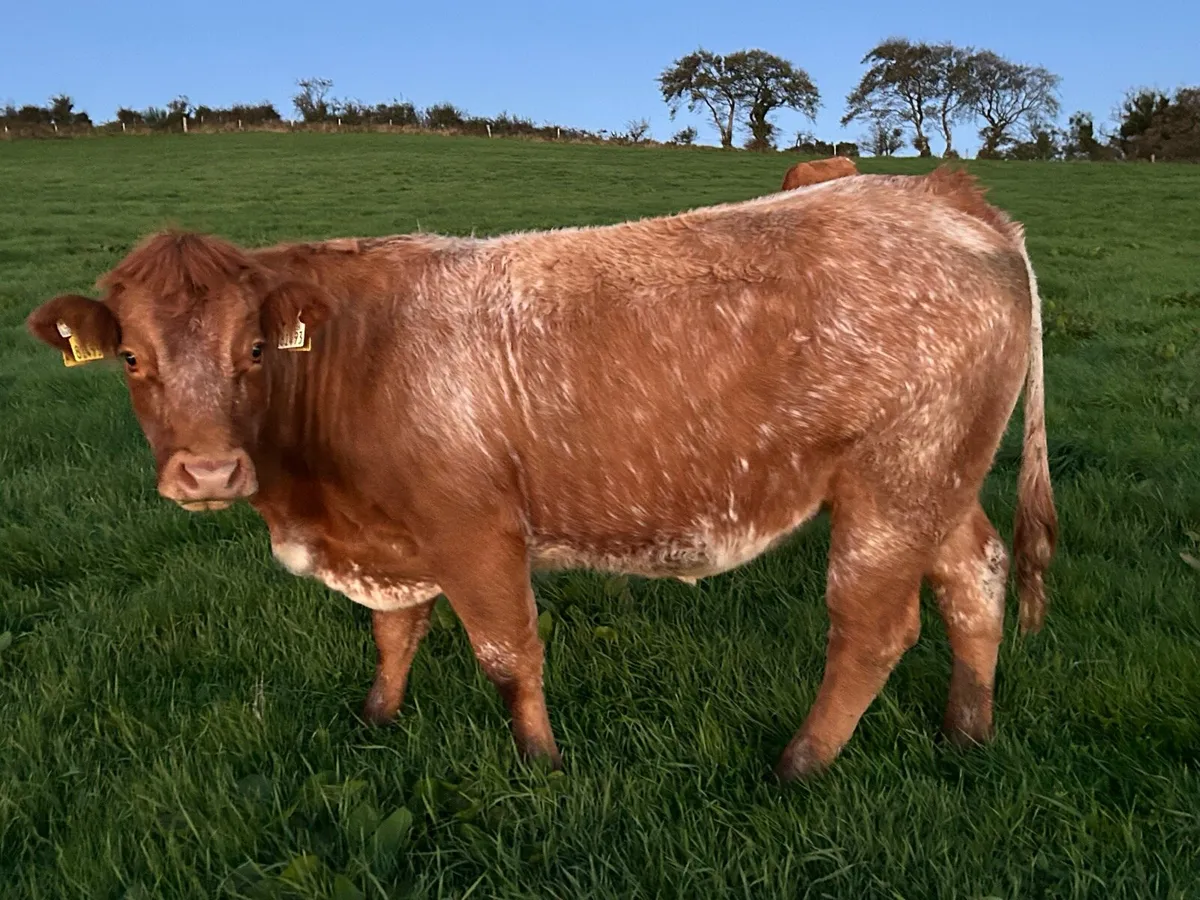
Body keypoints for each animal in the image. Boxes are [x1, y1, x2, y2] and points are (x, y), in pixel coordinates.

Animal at [25, 167, 1057, 782]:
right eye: (131, 360)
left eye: (251, 351)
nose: (208, 471)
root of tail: (942, 192)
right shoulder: (395, 533)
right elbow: (395, 633)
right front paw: (378, 717)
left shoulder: (476, 529)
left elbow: (506, 653)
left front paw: (540, 763)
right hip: (941, 479)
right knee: (976, 576)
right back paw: (968, 730)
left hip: (894, 482)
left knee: (874, 628)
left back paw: (798, 762)